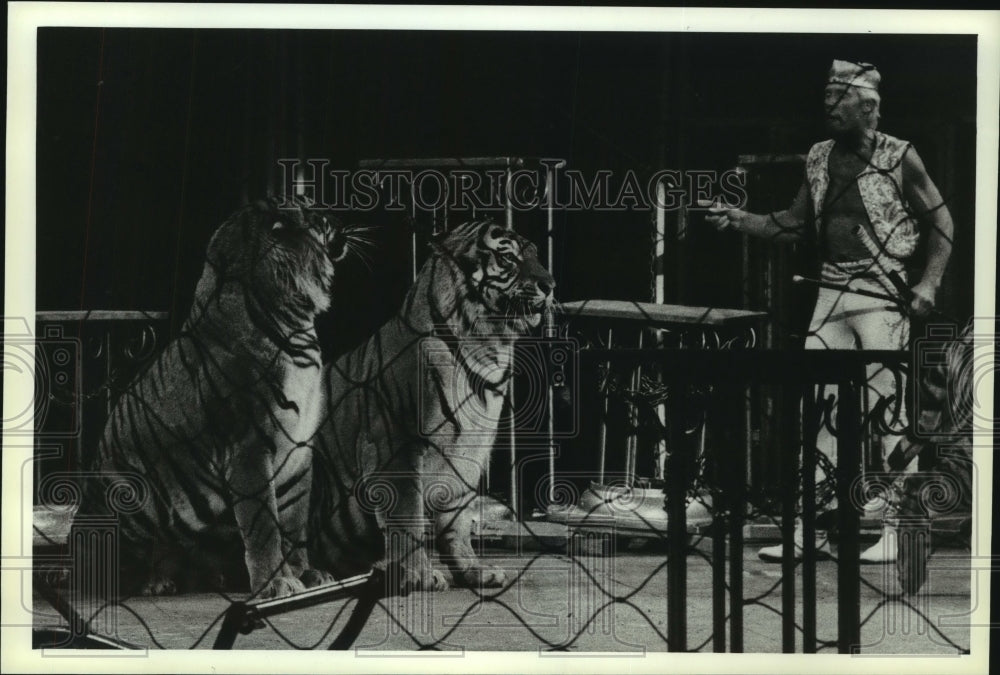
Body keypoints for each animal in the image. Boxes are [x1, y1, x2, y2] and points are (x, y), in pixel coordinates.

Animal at [75, 198, 364, 600]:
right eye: (318, 217)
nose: (339, 219)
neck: (296, 322)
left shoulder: (298, 448)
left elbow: (294, 522)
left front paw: (306, 575)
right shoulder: (249, 450)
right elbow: (265, 528)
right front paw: (275, 584)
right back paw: (139, 583)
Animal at [310, 218, 556, 592]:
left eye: (537, 256)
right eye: (507, 258)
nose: (550, 284)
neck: (488, 347)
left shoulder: (469, 452)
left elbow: (458, 521)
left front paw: (475, 570)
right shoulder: (401, 448)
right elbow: (409, 516)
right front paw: (423, 575)